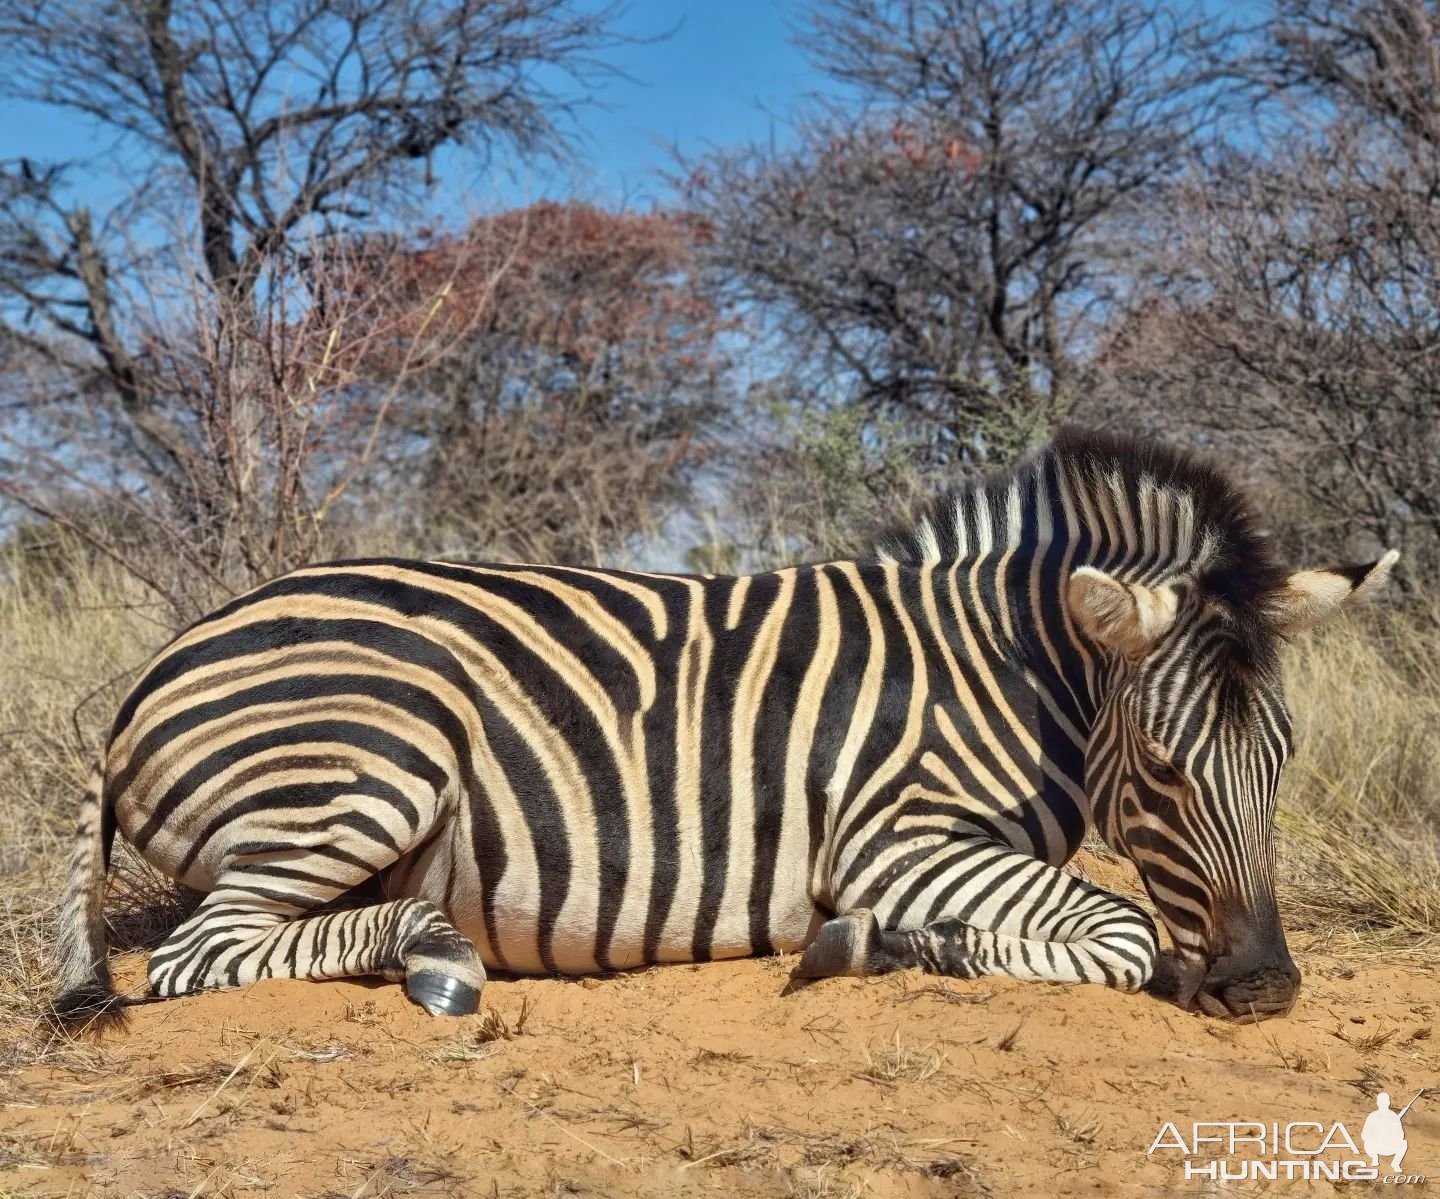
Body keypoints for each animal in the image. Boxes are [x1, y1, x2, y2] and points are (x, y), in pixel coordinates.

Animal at [53, 431, 1393, 1030]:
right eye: (1162, 768)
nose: (1267, 987)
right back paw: (433, 948)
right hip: (375, 760)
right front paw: (888, 944)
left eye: (1280, 762)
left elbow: (1130, 928)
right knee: (194, 954)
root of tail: (144, 676)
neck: (1009, 673)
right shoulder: (896, 837)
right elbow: (1124, 932)